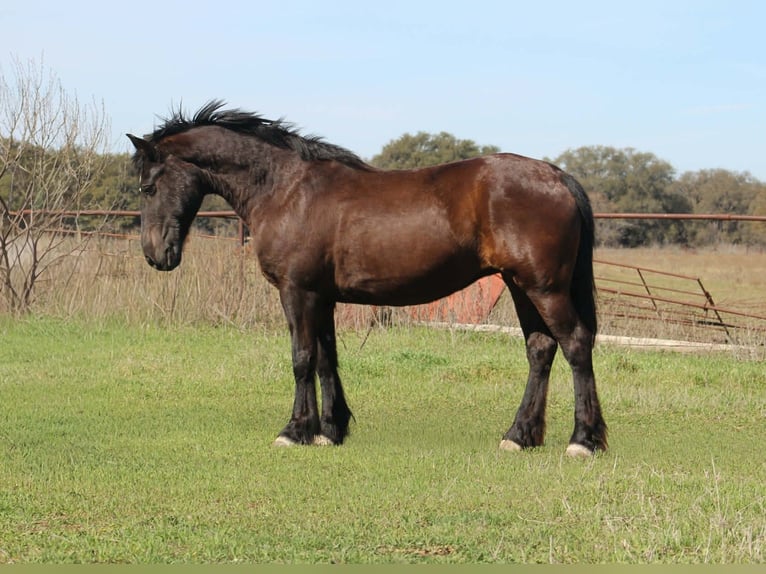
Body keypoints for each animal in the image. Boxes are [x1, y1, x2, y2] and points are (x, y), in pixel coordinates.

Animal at [128, 100, 607, 457]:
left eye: (148, 187)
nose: (155, 255)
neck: (287, 189)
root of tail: (557, 175)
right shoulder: (321, 297)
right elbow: (326, 359)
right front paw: (330, 429)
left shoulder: (297, 292)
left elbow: (301, 358)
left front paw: (295, 431)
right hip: (520, 285)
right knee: (540, 349)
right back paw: (519, 436)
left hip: (544, 288)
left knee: (575, 344)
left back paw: (583, 440)